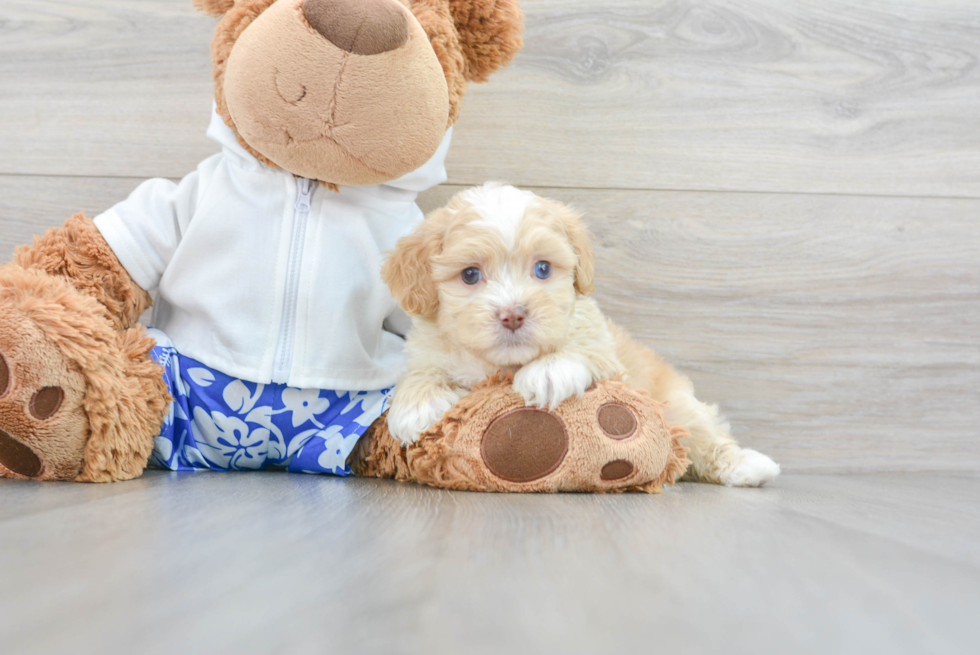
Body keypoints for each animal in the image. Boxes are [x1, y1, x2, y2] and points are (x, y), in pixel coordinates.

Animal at [382, 183, 780, 486]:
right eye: (469, 275)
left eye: (543, 269)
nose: (513, 315)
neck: (502, 364)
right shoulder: (430, 346)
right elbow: (422, 369)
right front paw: (416, 405)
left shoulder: (607, 353)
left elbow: (583, 350)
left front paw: (548, 371)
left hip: (677, 405)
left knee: (706, 435)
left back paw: (748, 466)